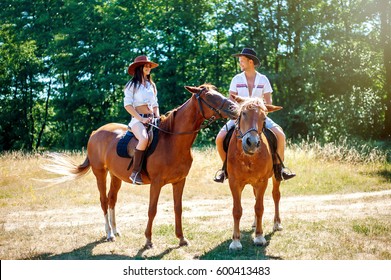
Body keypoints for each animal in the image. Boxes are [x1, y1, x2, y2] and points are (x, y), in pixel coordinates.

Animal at [43, 84, 239, 248]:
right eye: (209, 96)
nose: (235, 109)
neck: (173, 140)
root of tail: (95, 132)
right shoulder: (156, 183)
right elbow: (152, 210)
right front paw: (148, 240)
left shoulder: (179, 181)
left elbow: (178, 209)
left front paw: (182, 239)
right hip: (100, 173)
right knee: (104, 200)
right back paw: (109, 234)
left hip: (115, 176)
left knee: (112, 199)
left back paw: (115, 230)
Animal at [228, 95, 284, 250]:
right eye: (243, 113)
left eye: (264, 117)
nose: (252, 143)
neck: (248, 157)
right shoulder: (234, 182)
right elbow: (237, 210)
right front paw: (235, 241)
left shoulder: (262, 181)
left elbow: (259, 208)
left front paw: (259, 237)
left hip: (275, 178)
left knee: (276, 195)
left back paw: (277, 223)